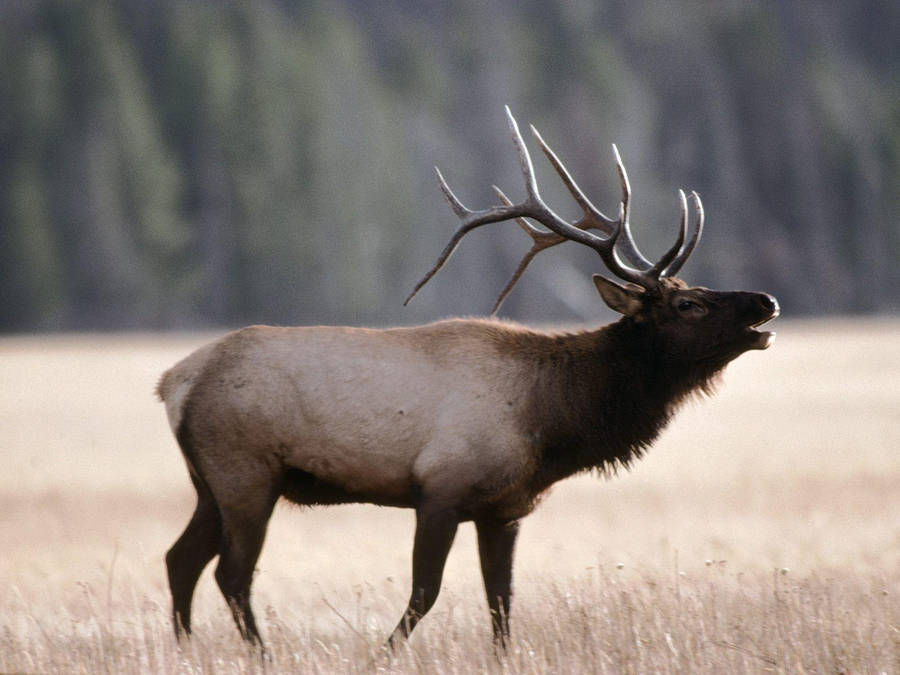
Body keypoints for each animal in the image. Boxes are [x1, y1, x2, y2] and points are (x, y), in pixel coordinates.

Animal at [158, 107, 778, 650]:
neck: (550, 421)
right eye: (689, 304)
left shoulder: (504, 508)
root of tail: (175, 382)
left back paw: (186, 649)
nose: (766, 301)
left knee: (180, 559)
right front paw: (382, 654)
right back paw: (259, 655)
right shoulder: (441, 489)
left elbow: (500, 603)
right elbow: (424, 594)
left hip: (209, 482)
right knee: (231, 574)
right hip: (246, 473)